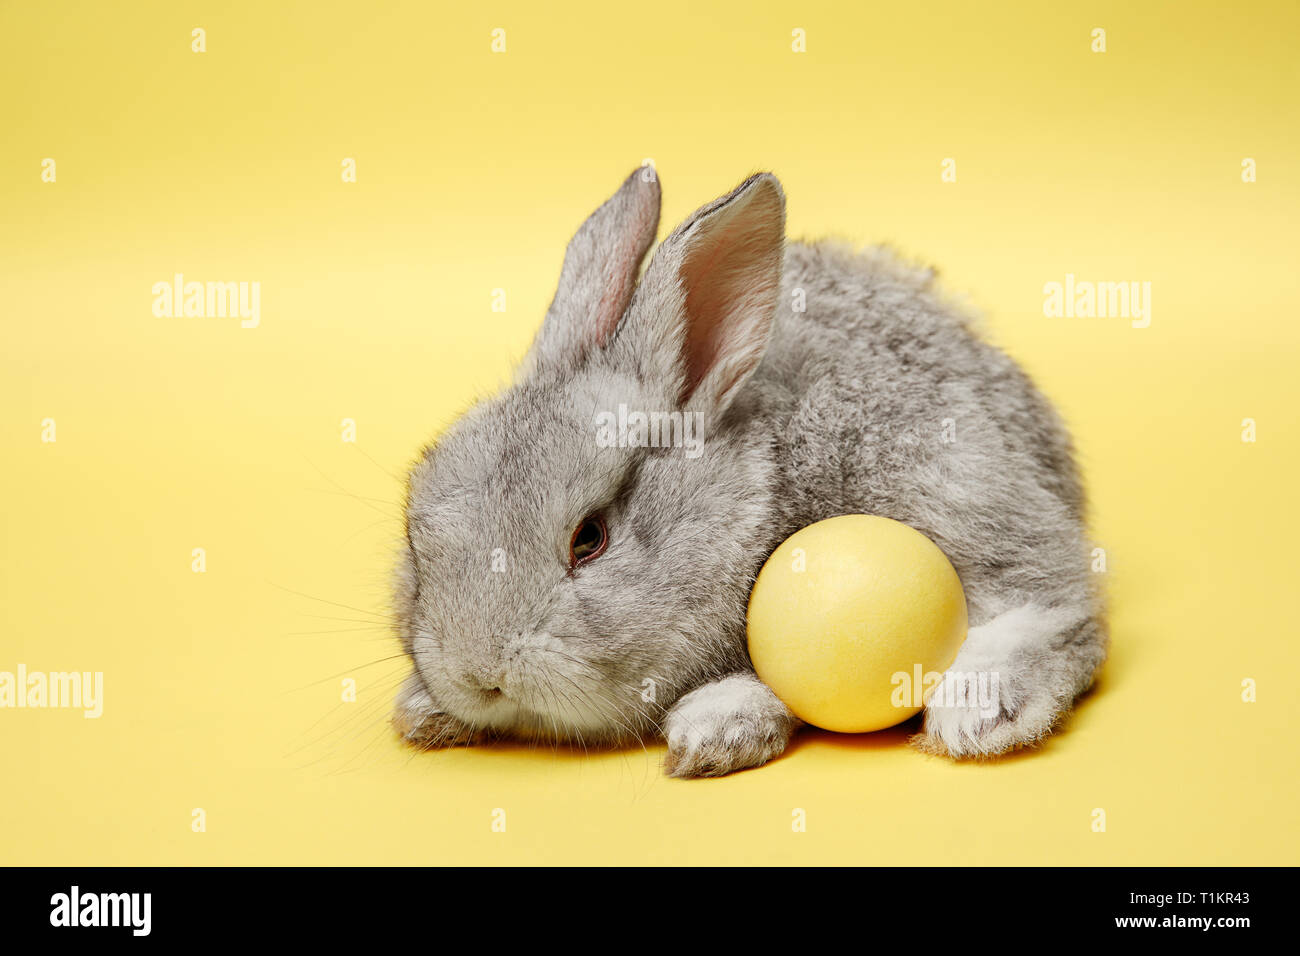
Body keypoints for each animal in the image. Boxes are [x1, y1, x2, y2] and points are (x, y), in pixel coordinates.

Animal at [391, 166, 1107, 777]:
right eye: (417, 539)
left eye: (589, 538)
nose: (478, 671)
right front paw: (421, 710)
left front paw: (714, 729)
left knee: (1067, 614)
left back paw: (979, 713)